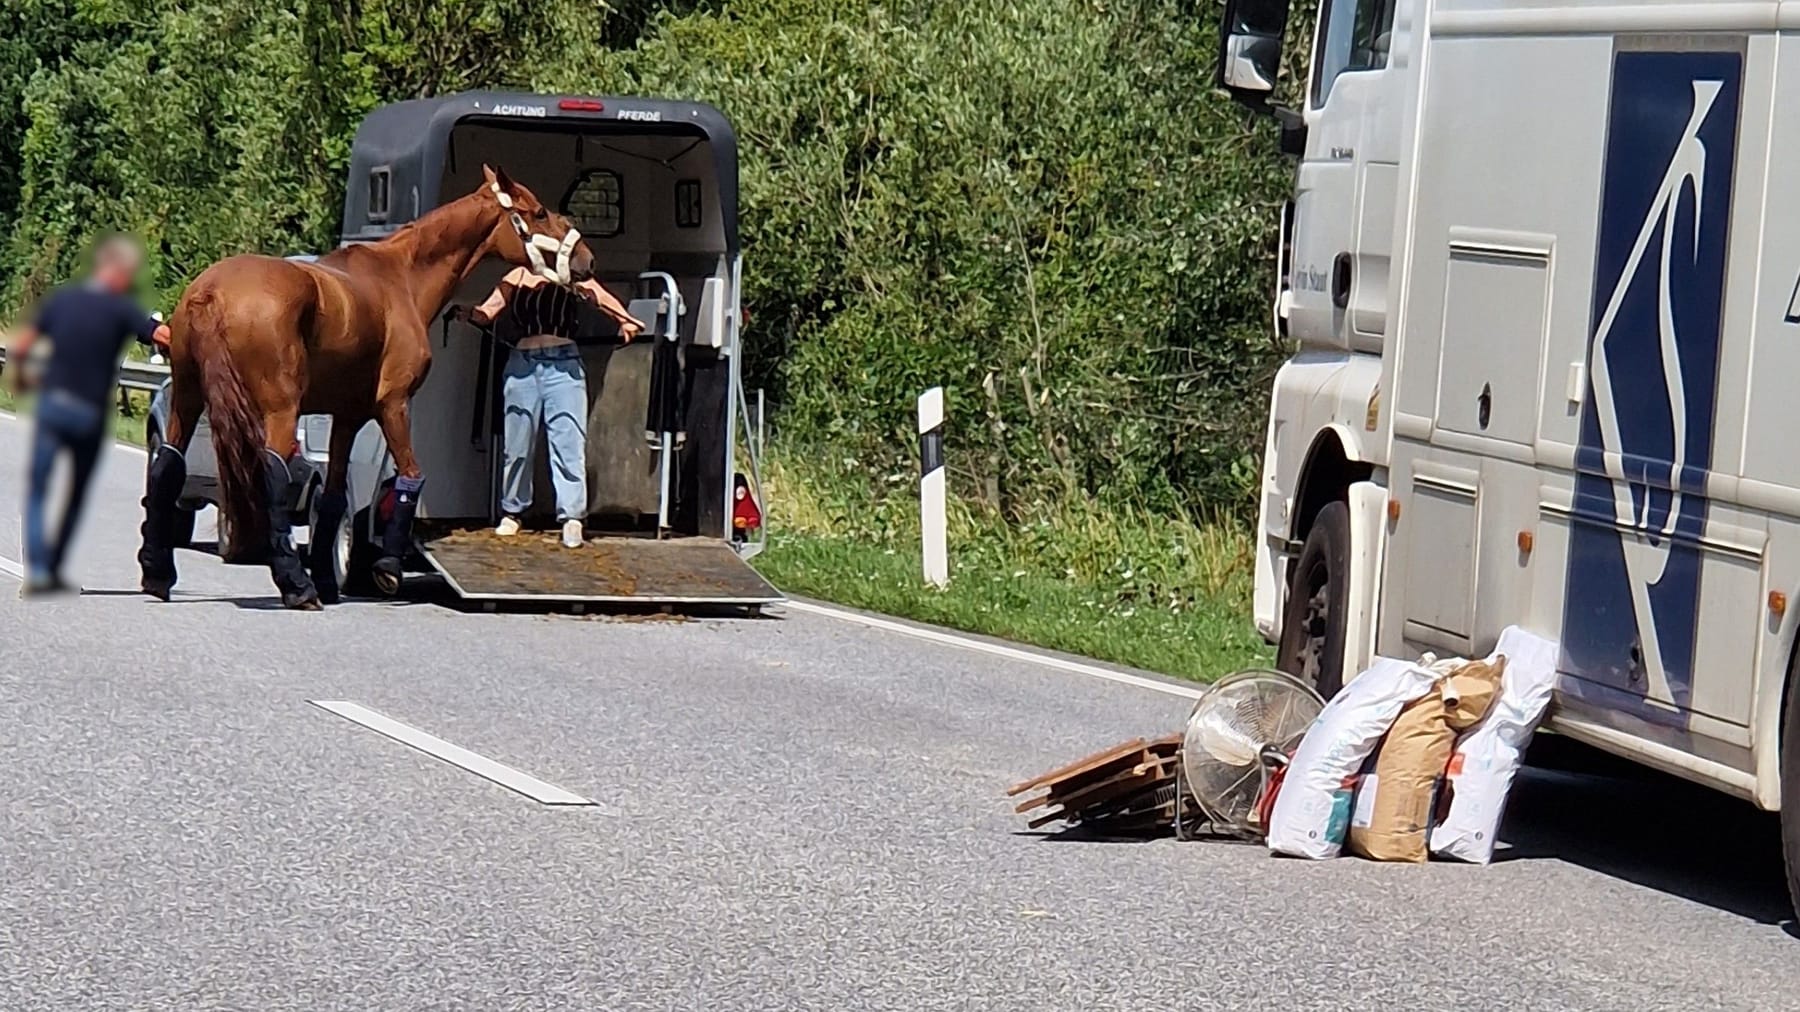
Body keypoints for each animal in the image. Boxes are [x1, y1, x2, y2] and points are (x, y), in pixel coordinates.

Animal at [138, 166, 597, 605]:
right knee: (272, 477)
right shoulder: (393, 406)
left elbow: (334, 497)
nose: (586, 261)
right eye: (538, 213)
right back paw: (295, 586)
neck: (401, 278)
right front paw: (386, 568)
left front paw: (328, 579)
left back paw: (158, 573)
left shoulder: (348, 417)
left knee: (167, 465)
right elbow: (411, 477)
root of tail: (211, 292)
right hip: (278, 411)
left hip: (188, 401)